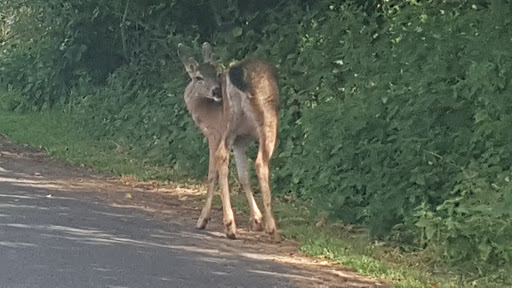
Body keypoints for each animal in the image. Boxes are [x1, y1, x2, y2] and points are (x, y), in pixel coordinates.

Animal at [176, 41, 280, 242]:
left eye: (216, 73)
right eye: (199, 77)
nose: (216, 90)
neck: (206, 111)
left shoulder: (221, 135)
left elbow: (222, 174)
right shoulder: (234, 138)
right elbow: (237, 175)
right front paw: (256, 219)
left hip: (237, 123)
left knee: (227, 159)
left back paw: (230, 225)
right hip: (261, 122)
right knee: (258, 162)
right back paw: (264, 227)